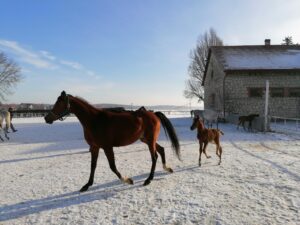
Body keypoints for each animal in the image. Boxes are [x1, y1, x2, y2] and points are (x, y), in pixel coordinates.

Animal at [44, 91, 180, 192]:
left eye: (60, 103)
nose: (46, 118)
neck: (94, 121)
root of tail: (154, 114)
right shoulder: (95, 147)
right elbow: (93, 166)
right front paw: (87, 185)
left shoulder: (107, 147)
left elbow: (112, 166)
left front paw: (127, 180)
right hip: (146, 139)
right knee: (161, 150)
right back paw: (167, 168)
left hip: (150, 140)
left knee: (154, 157)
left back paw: (149, 179)